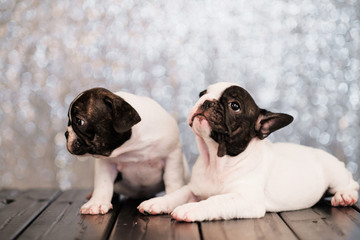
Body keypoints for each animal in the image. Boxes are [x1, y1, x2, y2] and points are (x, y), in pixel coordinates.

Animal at [137, 82, 358, 221]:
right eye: (201, 94)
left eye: (234, 105)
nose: (206, 101)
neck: (216, 160)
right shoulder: (194, 188)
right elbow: (178, 193)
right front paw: (157, 201)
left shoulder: (246, 199)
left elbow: (215, 200)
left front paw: (190, 208)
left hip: (334, 172)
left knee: (351, 184)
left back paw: (344, 196)